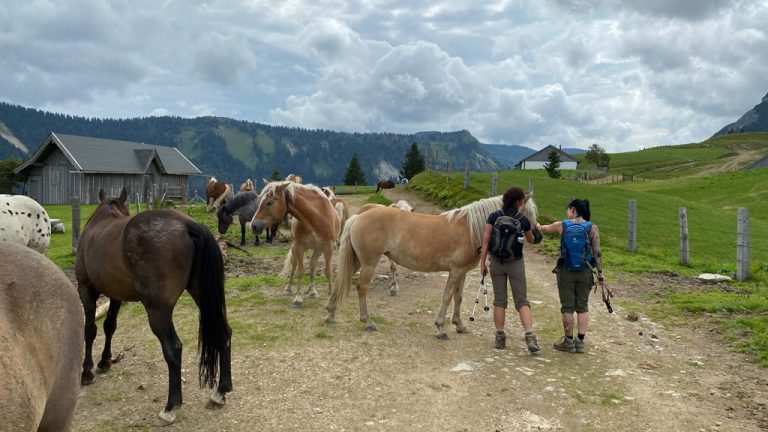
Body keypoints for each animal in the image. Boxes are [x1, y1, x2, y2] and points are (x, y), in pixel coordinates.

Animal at [77, 190, 234, 426]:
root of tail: (189, 225)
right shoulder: (115, 295)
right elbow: (109, 326)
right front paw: (104, 361)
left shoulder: (86, 290)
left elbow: (90, 331)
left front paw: (87, 372)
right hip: (201, 294)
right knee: (223, 333)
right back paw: (220, 392)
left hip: (158, 310)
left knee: (173, 347)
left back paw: (170, 407)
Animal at [326, 192, 540, 338]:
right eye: (528, 213)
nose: (538, 235)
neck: (470, 228)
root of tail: (359, 216)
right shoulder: (455, 272)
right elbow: (447, 297)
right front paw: (441, 328)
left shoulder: (461, 272)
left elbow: (458, 298)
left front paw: (459, 325)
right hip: (369, 262)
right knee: (361, 288)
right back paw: (367, 321)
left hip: (356, 260)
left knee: (340, 282)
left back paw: (330, 313)